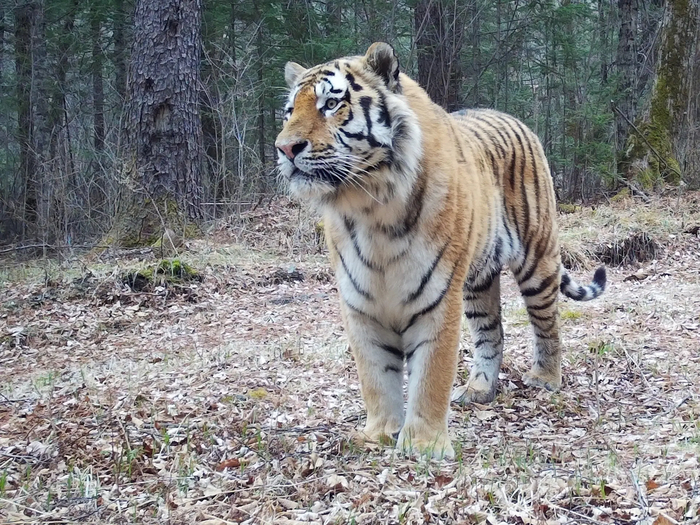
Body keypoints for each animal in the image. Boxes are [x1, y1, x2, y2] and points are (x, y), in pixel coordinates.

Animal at [275, 42, 606, 459]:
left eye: (331, 104)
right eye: (289, 111)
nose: (285, 148)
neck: (369, 207)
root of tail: (516, 120)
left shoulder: (436, 297)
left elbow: (431, 373)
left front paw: (424, 445)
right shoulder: (360, 303)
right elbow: (375, 375)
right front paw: (379, 434)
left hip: (537, 259)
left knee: (547, 324)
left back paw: (546, 379)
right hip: (478, 281)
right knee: (492, 331)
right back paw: (480, 389)